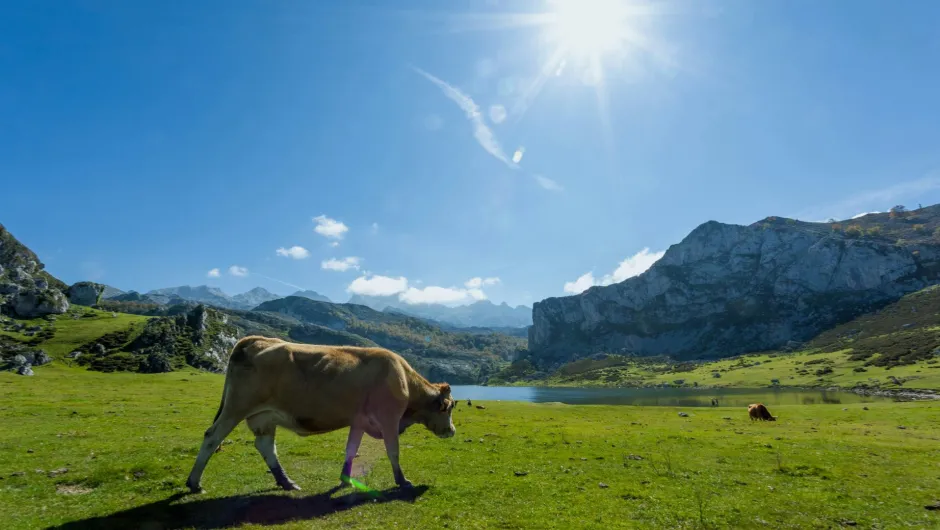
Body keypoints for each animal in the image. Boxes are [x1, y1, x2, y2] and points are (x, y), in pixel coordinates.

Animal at [185, 335, 457, 493]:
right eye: (449, 406)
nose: (452, 431)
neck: (403, 379)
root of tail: (256, 340)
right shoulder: (389, 419)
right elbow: (393, 451)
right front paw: (402, 481)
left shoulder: (359, 421)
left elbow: (351, 450)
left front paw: (346, 480)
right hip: (236, 407)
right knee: (212, 437)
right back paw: (194, 483)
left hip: (264, 416)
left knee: (266, 446)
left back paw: (286, 482)